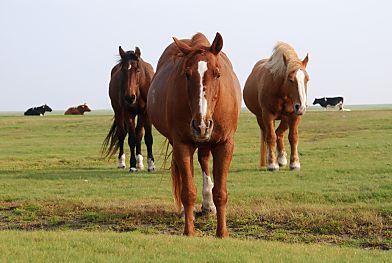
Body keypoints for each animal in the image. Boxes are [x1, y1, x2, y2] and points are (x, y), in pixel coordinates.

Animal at [146, 32, 240, 238]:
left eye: (217, 73)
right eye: (187, 75)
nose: (201, 125)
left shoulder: (225, 144)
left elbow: (220, 192)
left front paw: (222, 232)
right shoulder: (182, 143)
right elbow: (188, 191)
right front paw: (189, 231)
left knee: (204, 161)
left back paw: (208, 206)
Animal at [242, 42, 310, 172]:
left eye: (307, 79)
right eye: (290, 79)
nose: (301, 107)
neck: (282, 92)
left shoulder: (294, 115)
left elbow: (293, 137)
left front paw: (294, 163)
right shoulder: (268, 115)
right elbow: (270, 137)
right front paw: (272, 164)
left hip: (285, 118)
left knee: (279, 133)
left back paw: (282, 158)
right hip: (261, 118)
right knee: (269, 135)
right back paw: (271, 158)